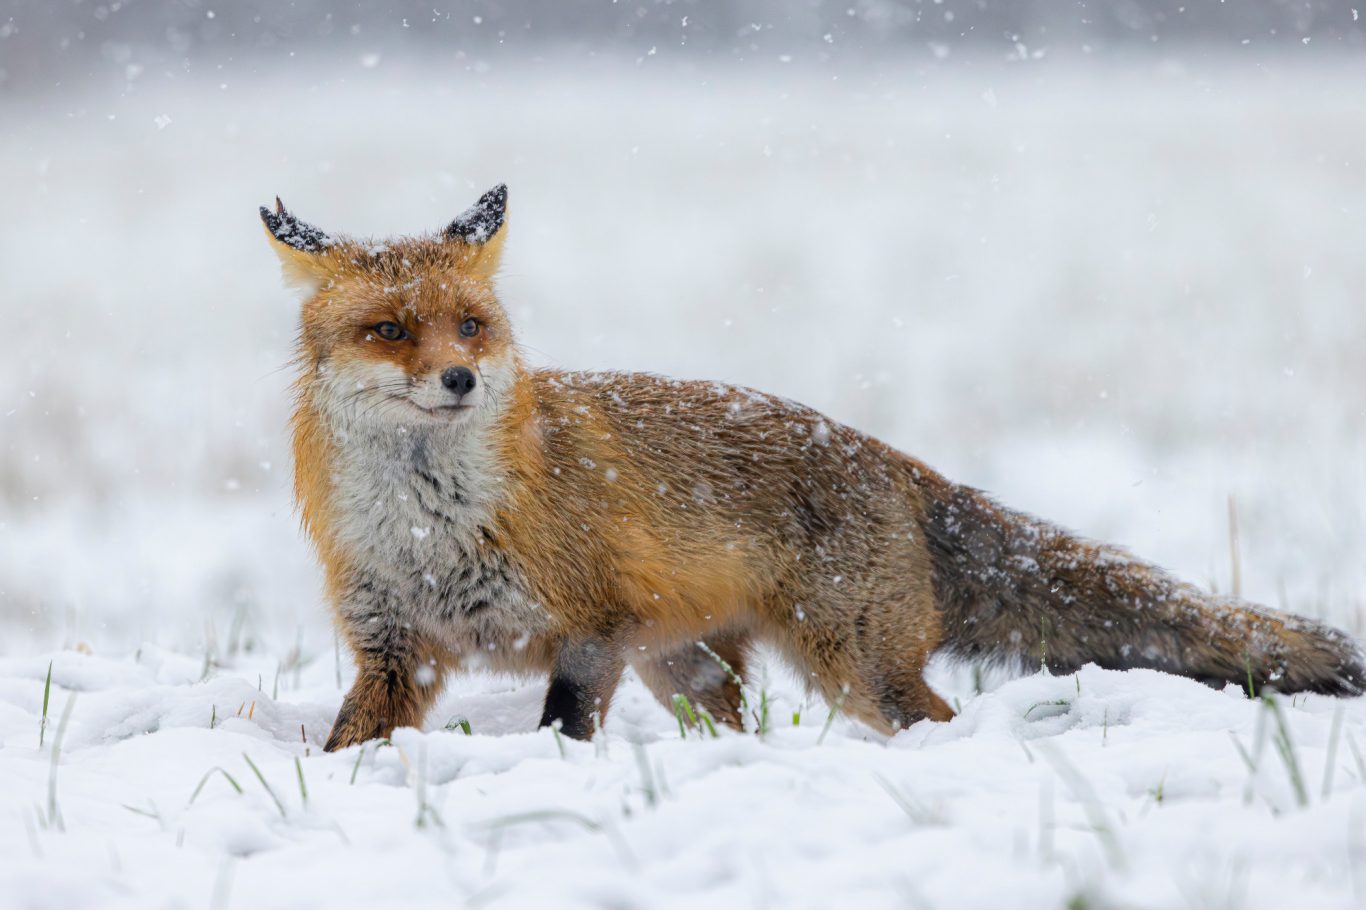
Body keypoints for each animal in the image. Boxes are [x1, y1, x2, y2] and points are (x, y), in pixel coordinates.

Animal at [258, 180, 1366, 748]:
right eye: (391, 329)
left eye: (472, 326)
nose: (459, 380)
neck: (428, 524)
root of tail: (894, 459)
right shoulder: (395, 646)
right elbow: (347, 743)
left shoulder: (590, 629)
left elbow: (562, 728)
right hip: (689, 668)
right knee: (740, 726)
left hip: (856, 666)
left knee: (937, 717)